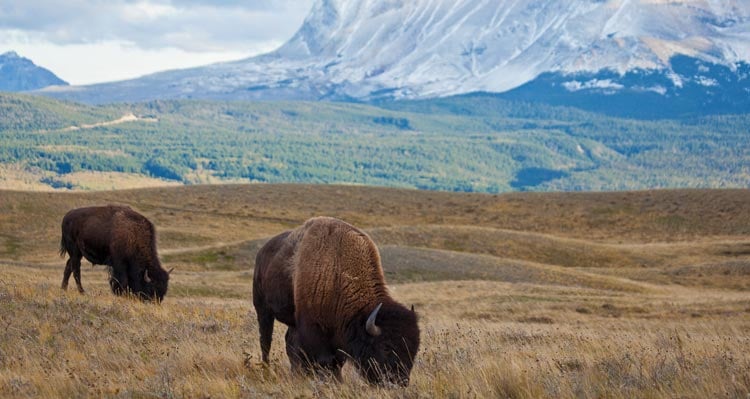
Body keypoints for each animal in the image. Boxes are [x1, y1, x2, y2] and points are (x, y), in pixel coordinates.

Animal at [256, 217, 424, 386]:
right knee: (266, 340)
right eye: (386, 347)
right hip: (262, 308)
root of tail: (262, 251)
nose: (400, 382)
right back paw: (267, 371)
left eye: (414, 348)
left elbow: (336, 361)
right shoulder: (312, 328)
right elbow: (323, 360)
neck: (337, 271)